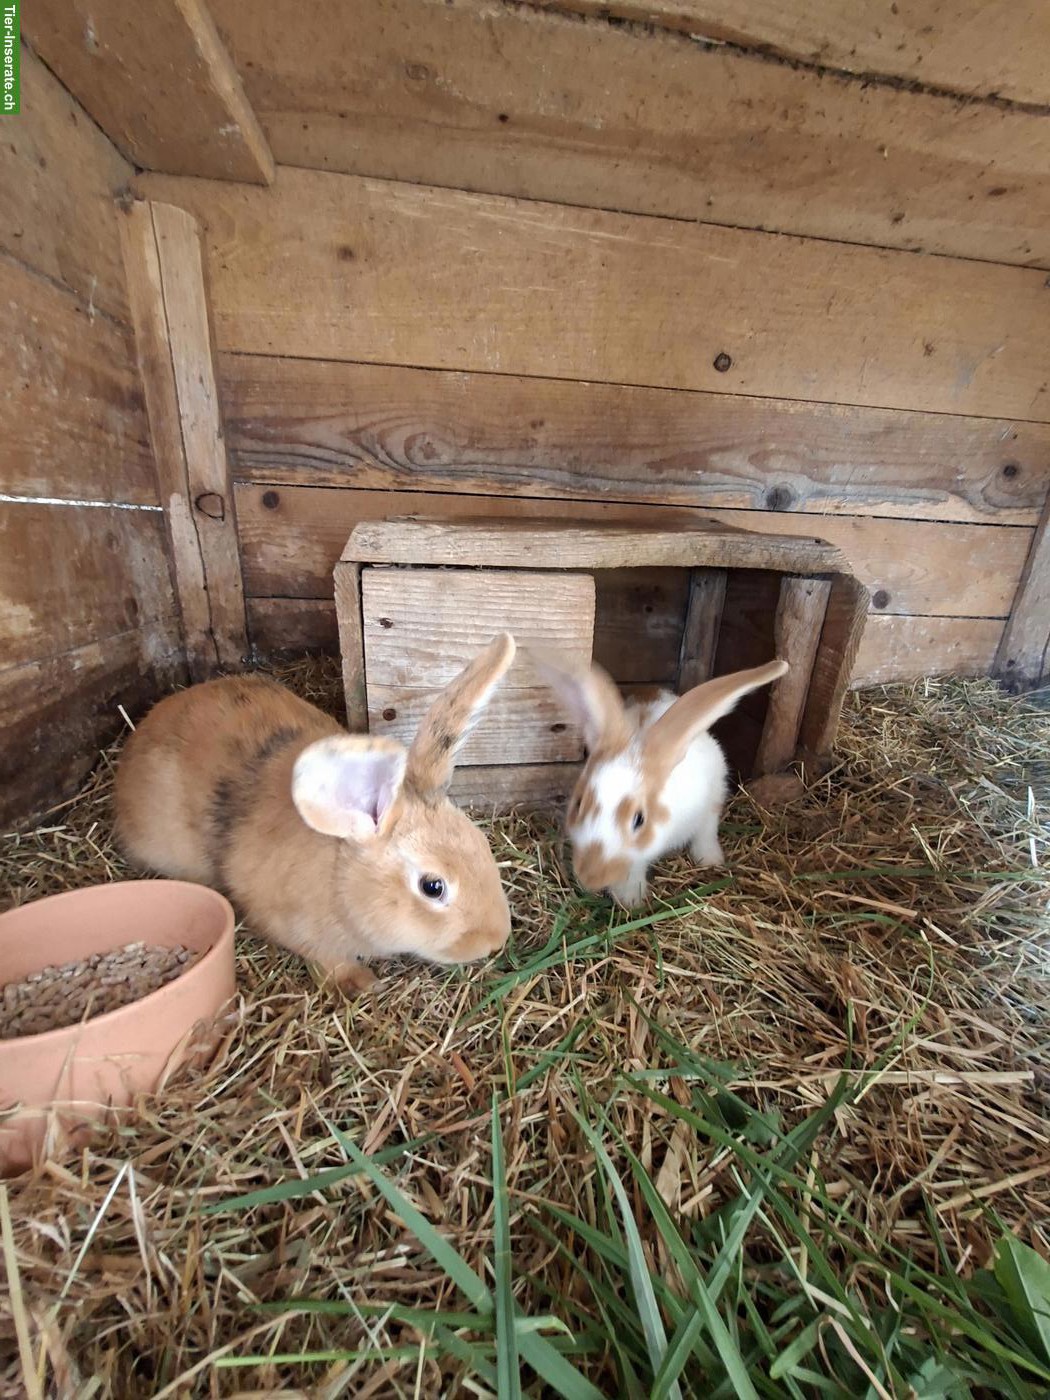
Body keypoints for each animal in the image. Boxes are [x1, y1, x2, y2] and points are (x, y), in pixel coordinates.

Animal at [114, 633, 517, 989]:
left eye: (482, 843)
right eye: (433, 887)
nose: (495, 939)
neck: (340, 877)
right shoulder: (293, 926)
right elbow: (327, 959)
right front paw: (360, 984)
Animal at [535, 654, 788, 908]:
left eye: (639, 819)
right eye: (578, 804)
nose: (590, 878)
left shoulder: (712, 802)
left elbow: (706, 833)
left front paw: (710, 861)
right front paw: (631, 901)